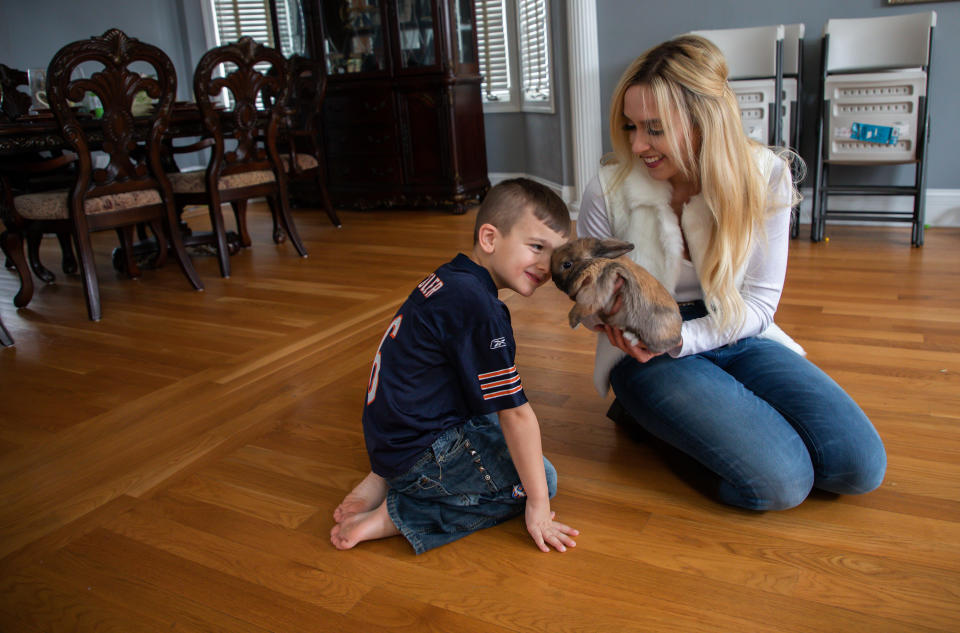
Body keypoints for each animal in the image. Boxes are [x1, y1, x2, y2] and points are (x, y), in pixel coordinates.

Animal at [548, 238, 684, 356]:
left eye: (567, 264)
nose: (554, 281)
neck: (594, 261)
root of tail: (678, 336)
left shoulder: (598, 284)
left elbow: (582, 306)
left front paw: (573, 323)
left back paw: (630, 336)